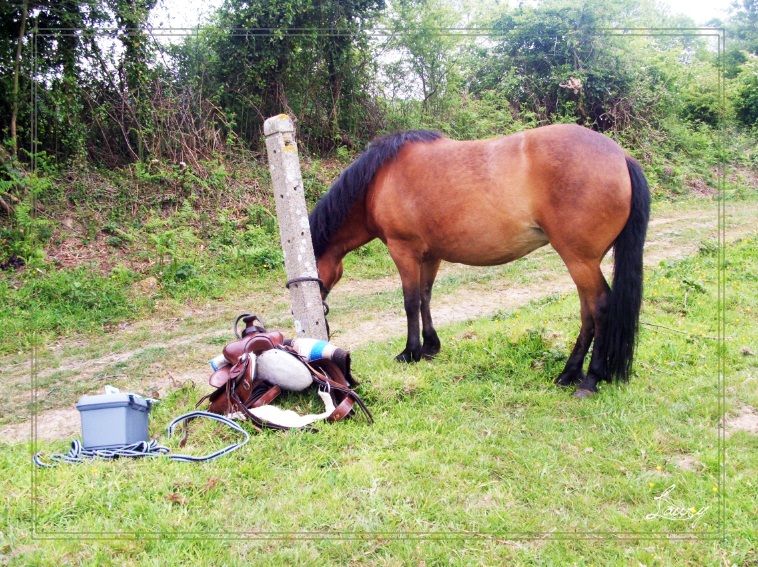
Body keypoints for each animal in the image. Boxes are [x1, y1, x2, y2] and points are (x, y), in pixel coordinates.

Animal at [308, 124, 650, 397]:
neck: (379, 182)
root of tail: (622, 157)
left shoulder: (403, 250)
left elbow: (409, 301)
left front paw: (410, 352)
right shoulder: (430, 255)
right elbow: (425, 297)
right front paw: (431, 347)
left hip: (580, 260)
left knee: (600, 307)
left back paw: (589, 380)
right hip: (582, 262)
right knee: (587, 311)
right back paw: (569, 374)